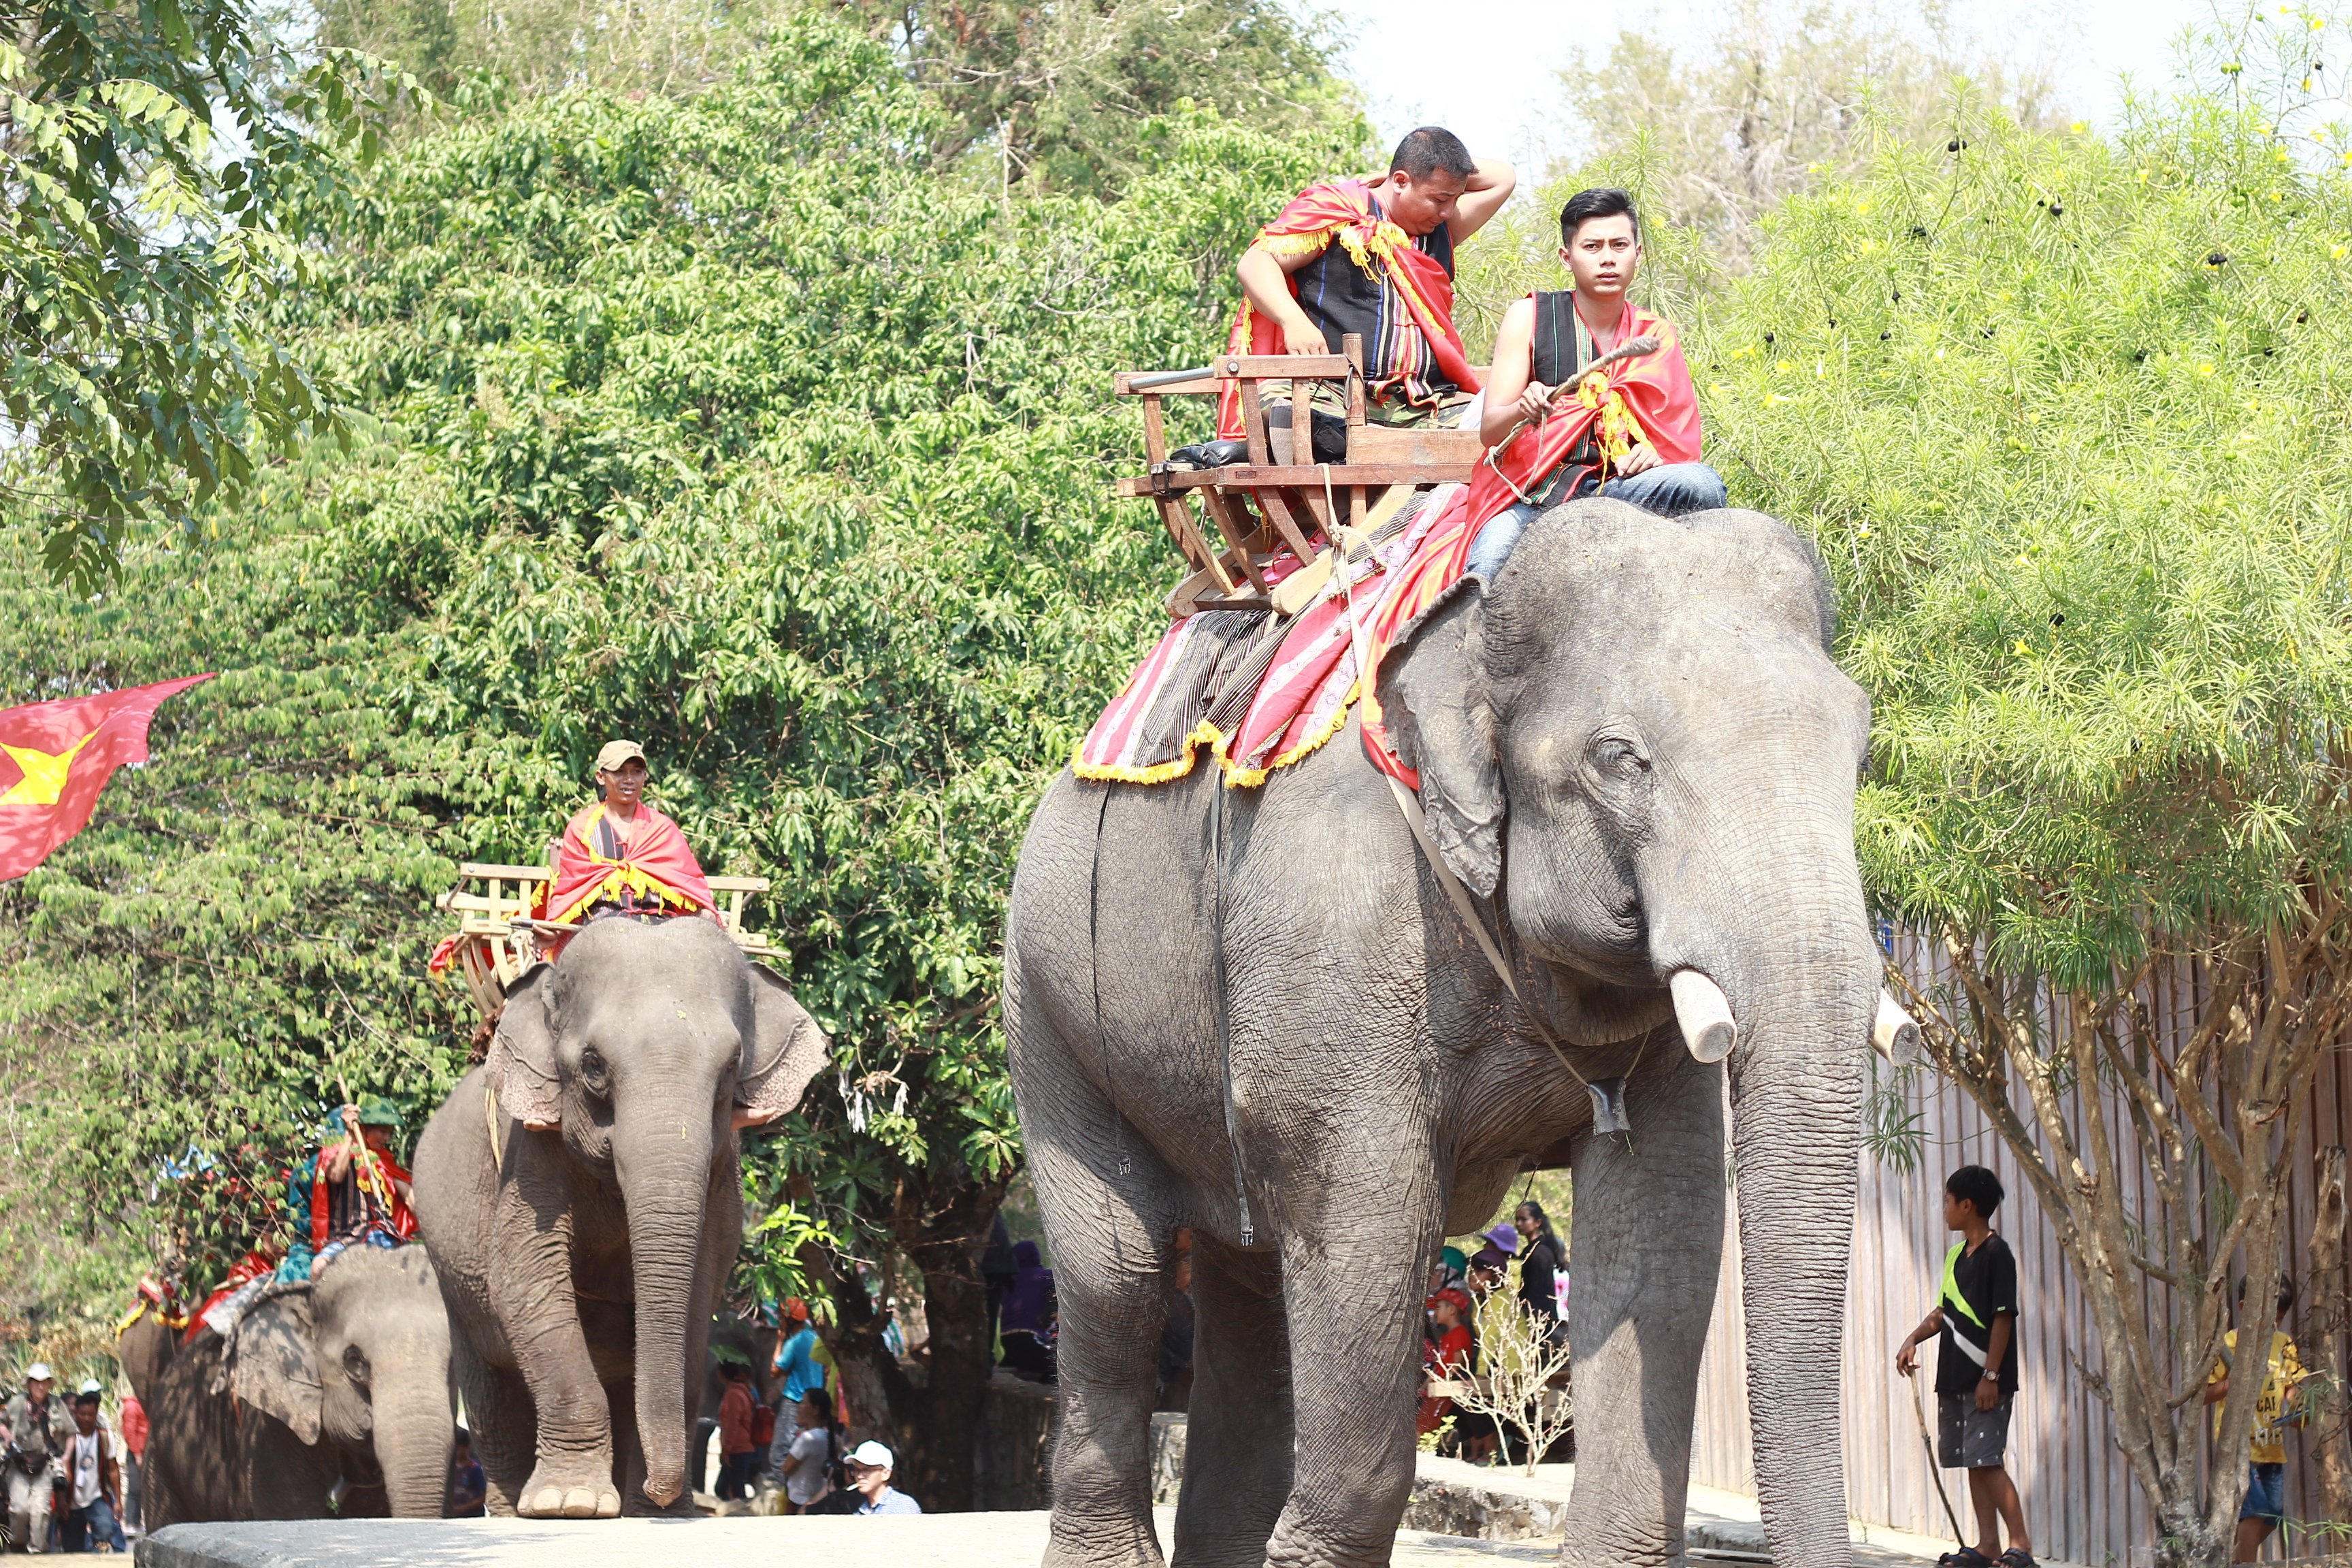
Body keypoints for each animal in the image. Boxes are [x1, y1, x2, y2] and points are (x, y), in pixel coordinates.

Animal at [411, 921, 828, 1523]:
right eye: (592, 1067)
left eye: (731, 1068)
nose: (665, 1491)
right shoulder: (529, 1154)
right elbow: (524, 1282)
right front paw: (570, 1505)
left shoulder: (721, 1174)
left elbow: (698, 1293)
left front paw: (658, 1514)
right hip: (452, 1283)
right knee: (492, 1399)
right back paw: (515, 1511)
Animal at [1002, 503, 1881, 1568]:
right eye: (1619, 759)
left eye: (1860, 747)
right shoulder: (1340, 937)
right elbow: (1368, 1236)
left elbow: (1661, 1229)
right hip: (1051, 1006)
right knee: (1118, 1284)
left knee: (1246, 1295)